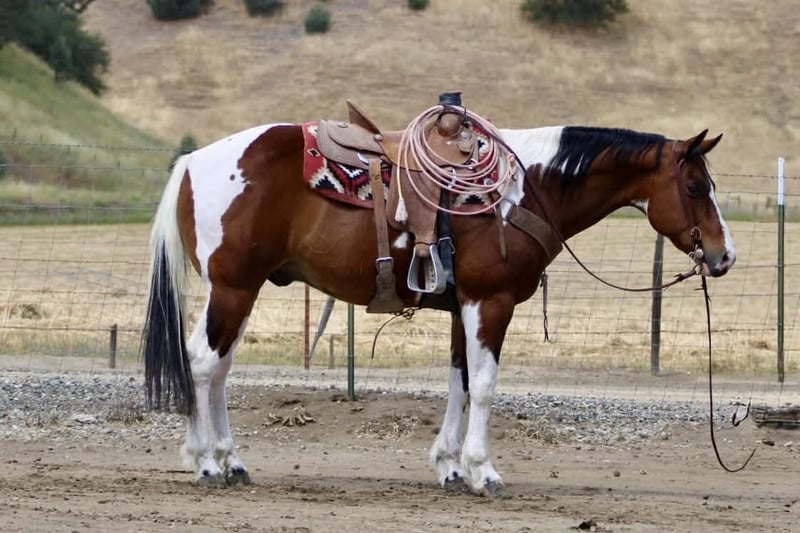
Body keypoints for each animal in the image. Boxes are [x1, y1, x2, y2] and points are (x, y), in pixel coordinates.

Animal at [142, 115, 735, 495]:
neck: (522, 190)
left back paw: (231, 461)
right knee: (202, 365)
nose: (724, 255)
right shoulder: (491, 303)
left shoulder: (461, 307)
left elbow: (459, 383)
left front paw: (449, 468)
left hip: (242, 291)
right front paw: (483, 472)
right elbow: (486, 386)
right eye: (694, 186)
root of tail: (193, 162)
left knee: (218, 370)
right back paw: (206, 464)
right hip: (234, 288)